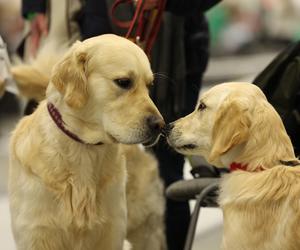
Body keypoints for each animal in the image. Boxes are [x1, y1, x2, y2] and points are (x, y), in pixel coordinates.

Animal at [9, 34, 165, 250]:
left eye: (149, 85)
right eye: (124, 82)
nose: (160, 125)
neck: (84, 149)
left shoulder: (111, 232)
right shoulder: (37, 234)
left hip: (146, 229)